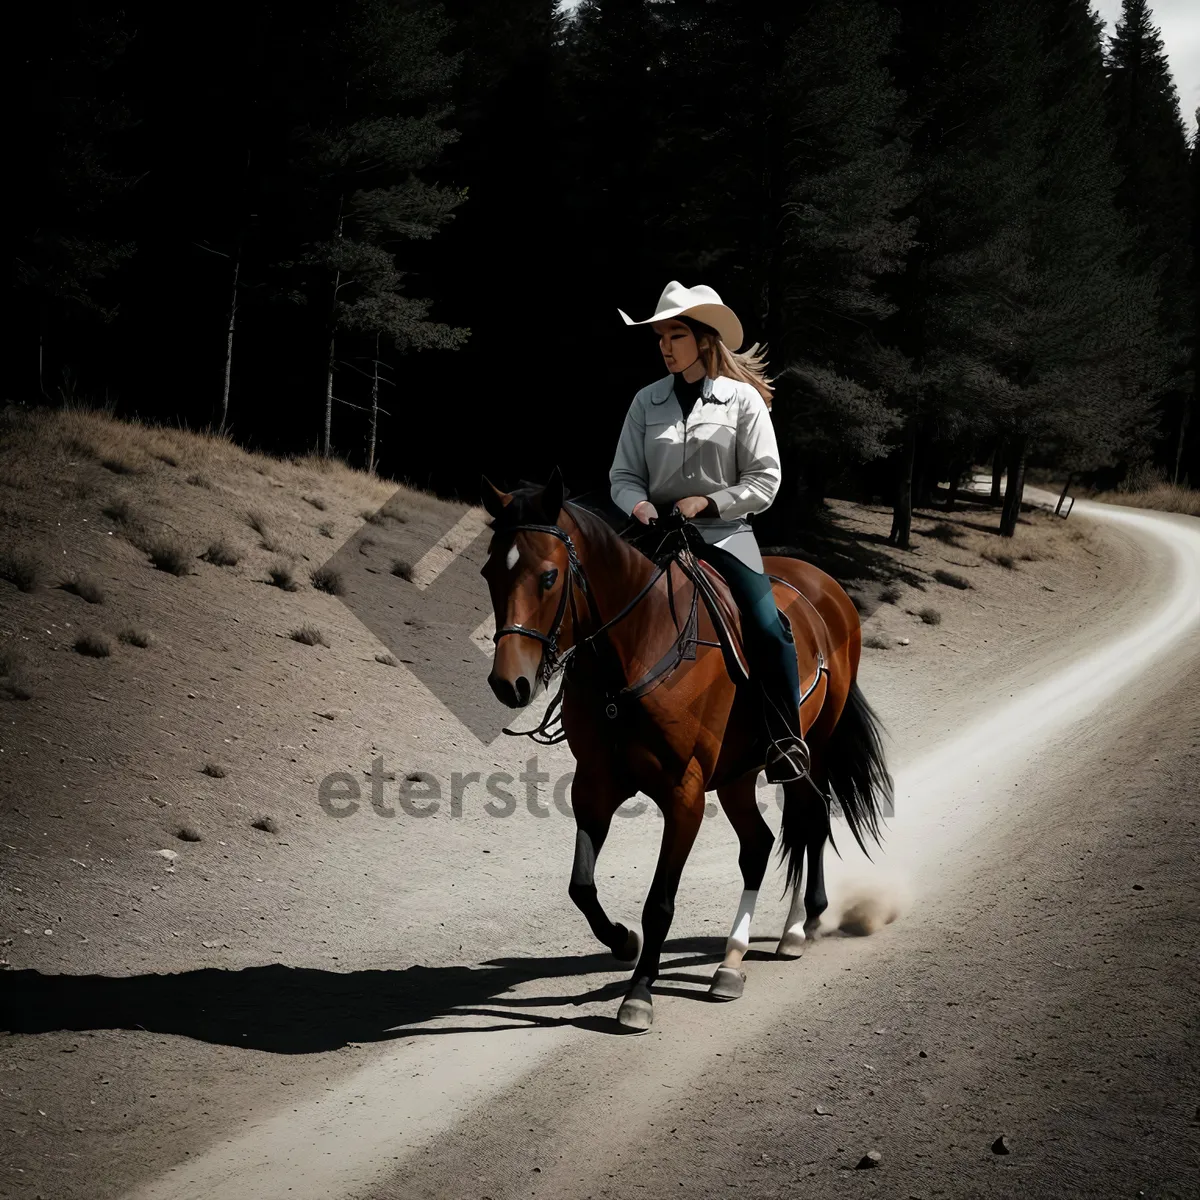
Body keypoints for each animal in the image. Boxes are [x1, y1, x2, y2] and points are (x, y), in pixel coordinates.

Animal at [480, 468, 892, 1032]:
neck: (635, 649)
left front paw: (638, 994)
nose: (509, 683)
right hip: (739, 775)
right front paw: (623, 942)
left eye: (547, 577)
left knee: (809, 821)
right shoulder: (595, 784)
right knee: (758, 846)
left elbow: (659, 902)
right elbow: (581, 887)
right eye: (488, 573)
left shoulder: (684, 794)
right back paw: (731, 961)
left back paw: (796, 929)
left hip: (811, 749)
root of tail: (828, 588)